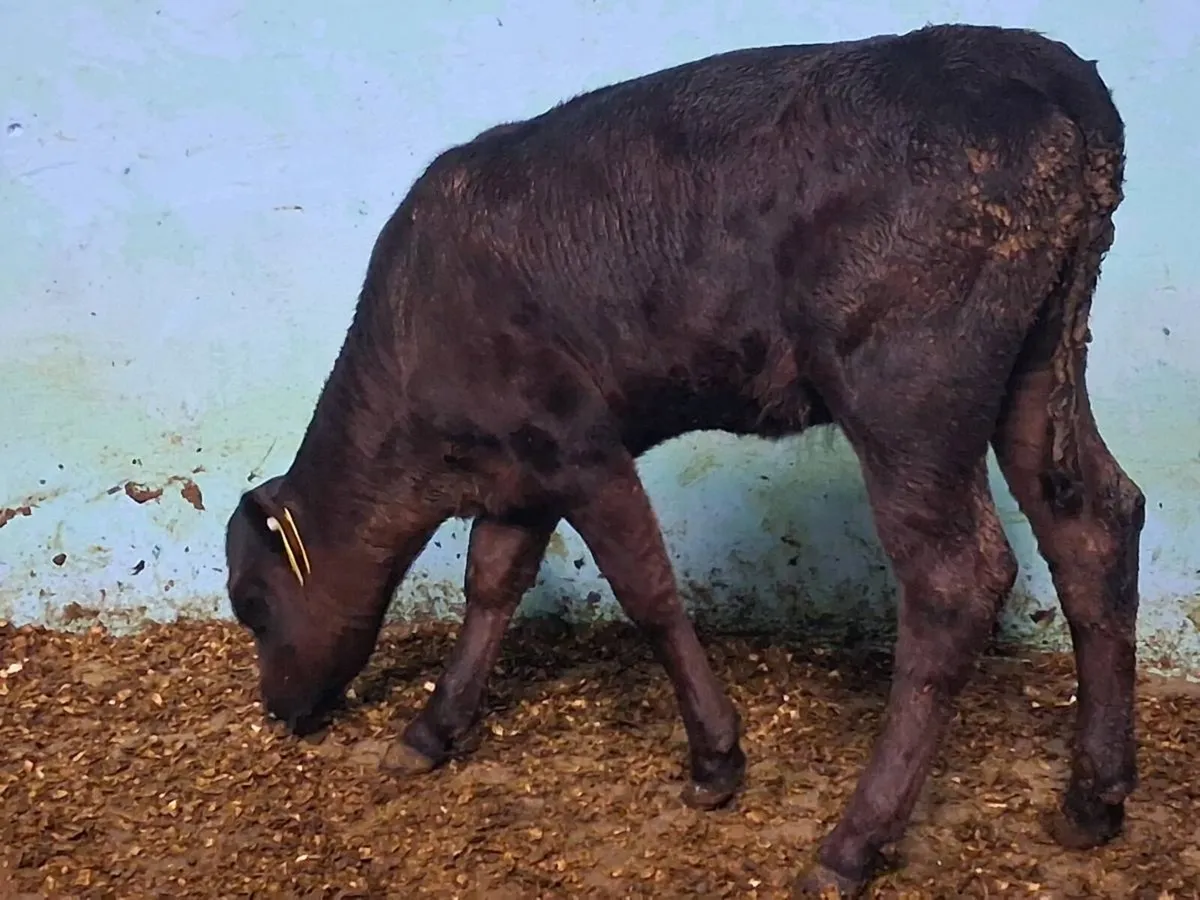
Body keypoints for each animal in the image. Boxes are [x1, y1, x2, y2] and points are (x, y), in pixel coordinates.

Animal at [224, 23, 1144, 897]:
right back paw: (1093, 798)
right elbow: (491, 583)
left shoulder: (579, 444)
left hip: (907, 391)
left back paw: (851, 843)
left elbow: (647, 590)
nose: (278, 708)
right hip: (1035, 370)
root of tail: (1027, 57)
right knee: (1096, 525)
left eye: (251, 603)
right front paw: (432, 729)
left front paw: (715, 757)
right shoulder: (520, 468)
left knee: (955, 582)